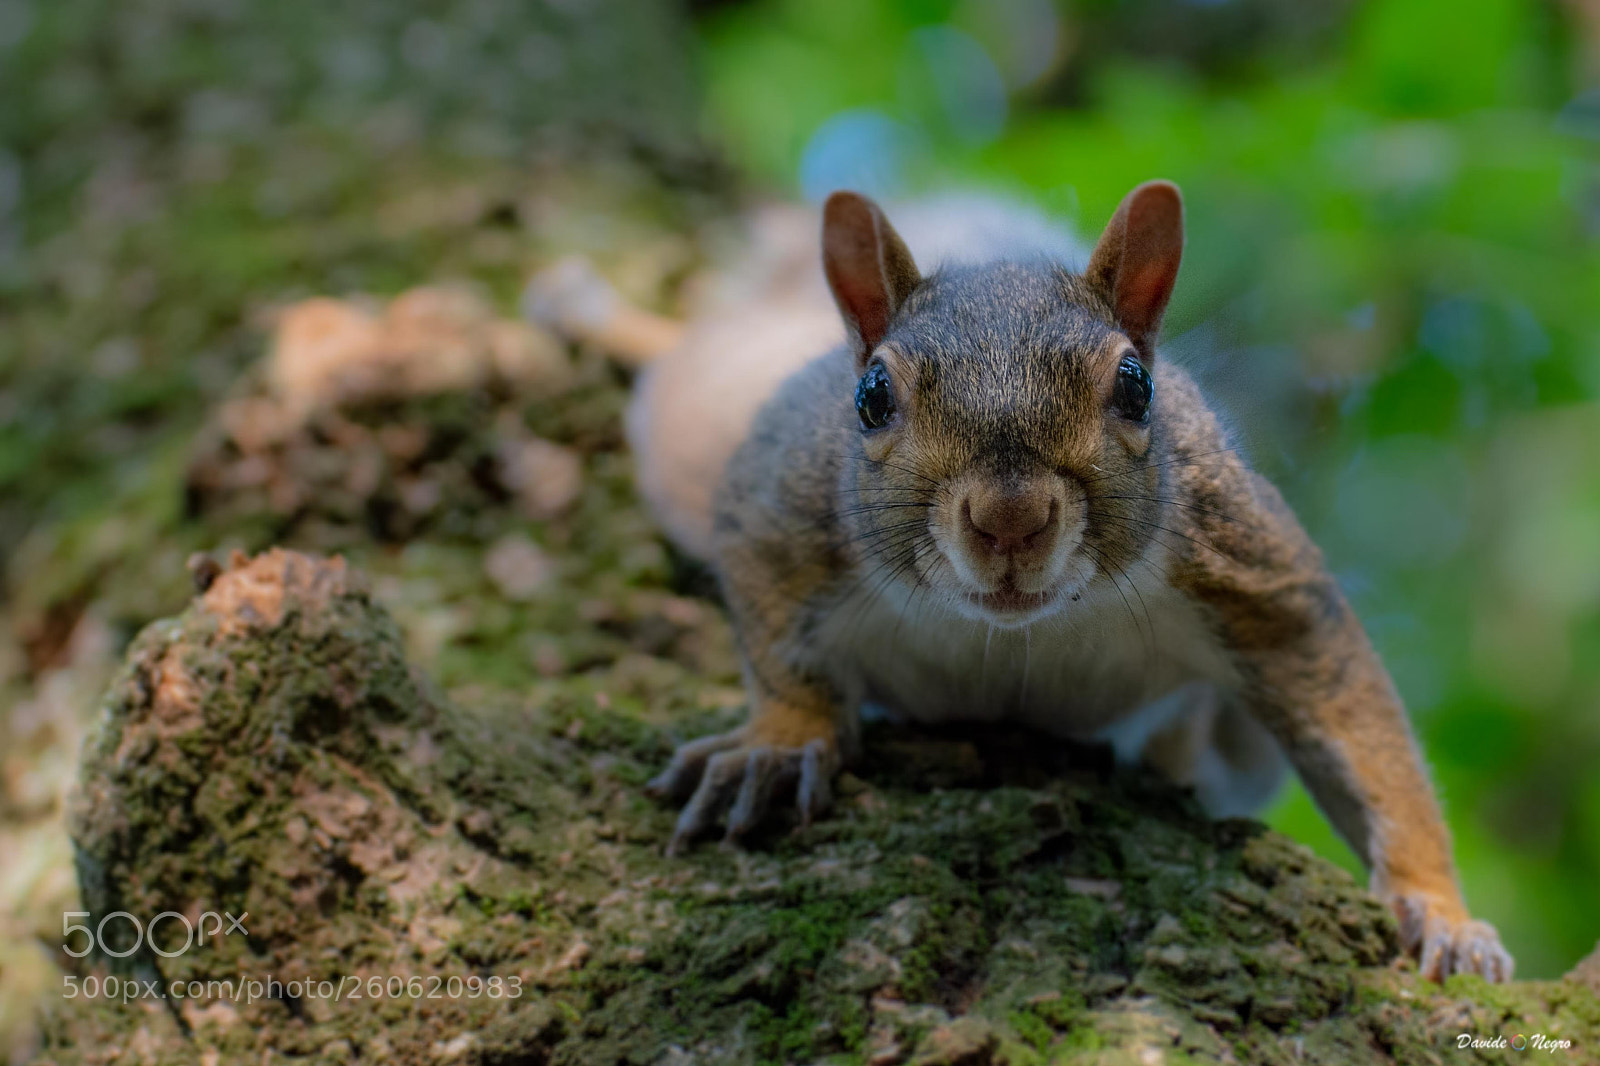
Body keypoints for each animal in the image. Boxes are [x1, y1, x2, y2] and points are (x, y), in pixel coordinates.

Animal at [610, 181, 1513, 983]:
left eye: (1136, 386)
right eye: (870, 396)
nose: (1010, 519)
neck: (1018, 633)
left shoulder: (1244, 560)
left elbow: (1358, 725)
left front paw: (1442, 910)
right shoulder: (777, 513)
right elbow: (778, 646)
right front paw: (775, 744)